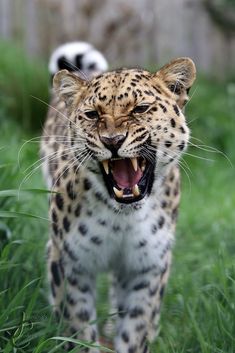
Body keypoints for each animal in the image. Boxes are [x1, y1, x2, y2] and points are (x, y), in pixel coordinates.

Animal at [40, 53, 196, 352]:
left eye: (141, 109)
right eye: (92, 114)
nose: (112, 141)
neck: (123, 216)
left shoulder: (147, 267)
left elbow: (136, 327)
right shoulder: (70, 262)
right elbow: (77, 327)